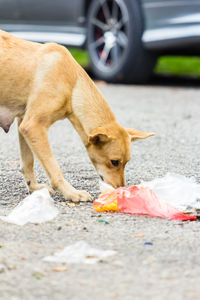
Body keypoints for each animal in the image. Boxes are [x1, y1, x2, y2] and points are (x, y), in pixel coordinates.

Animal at [0, 30, 154, 203]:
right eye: (114, 162)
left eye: (126, 162)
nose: (120, 189)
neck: (73, 83)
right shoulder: (33, 126)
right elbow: (54, 168)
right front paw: (71, 193)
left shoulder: (23, 123)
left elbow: (27, 162)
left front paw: (34, 188)